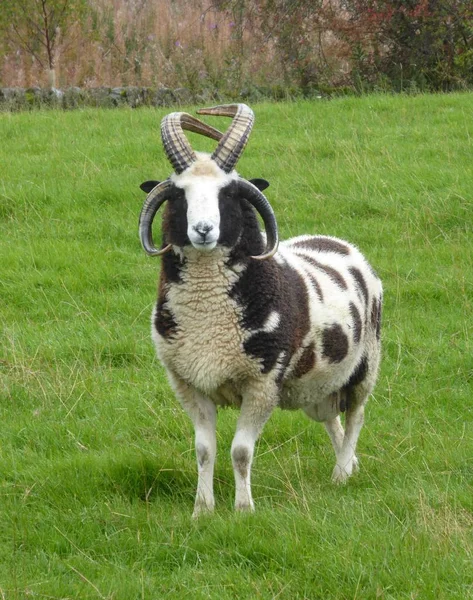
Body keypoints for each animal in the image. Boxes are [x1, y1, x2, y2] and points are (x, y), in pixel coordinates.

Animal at [138, 103, 382, 516]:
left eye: (228, 194)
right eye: (179, 195)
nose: (203, 230)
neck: (208, 318)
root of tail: (341, 244)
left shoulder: (262, 383)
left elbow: (240, 451)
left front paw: (243, 509)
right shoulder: (189, 383)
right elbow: (203, 450)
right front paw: (202, 510)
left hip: (365, 367)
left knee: (356, 416)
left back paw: (342, 473)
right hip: (315, 386)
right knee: (332, 418)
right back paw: (347, 466)